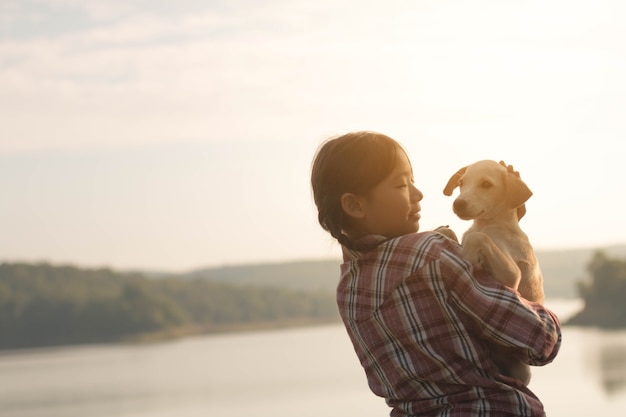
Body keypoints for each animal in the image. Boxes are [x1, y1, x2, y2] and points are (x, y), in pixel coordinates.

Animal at [442, 160, 544, 384]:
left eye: (487, 184)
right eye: (461, 183)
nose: (458, 204)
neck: (488, 224)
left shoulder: (512, 275)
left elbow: (478, 238)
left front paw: (469, 258)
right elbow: (452, 232)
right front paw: (443, 231)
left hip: (522, 371)